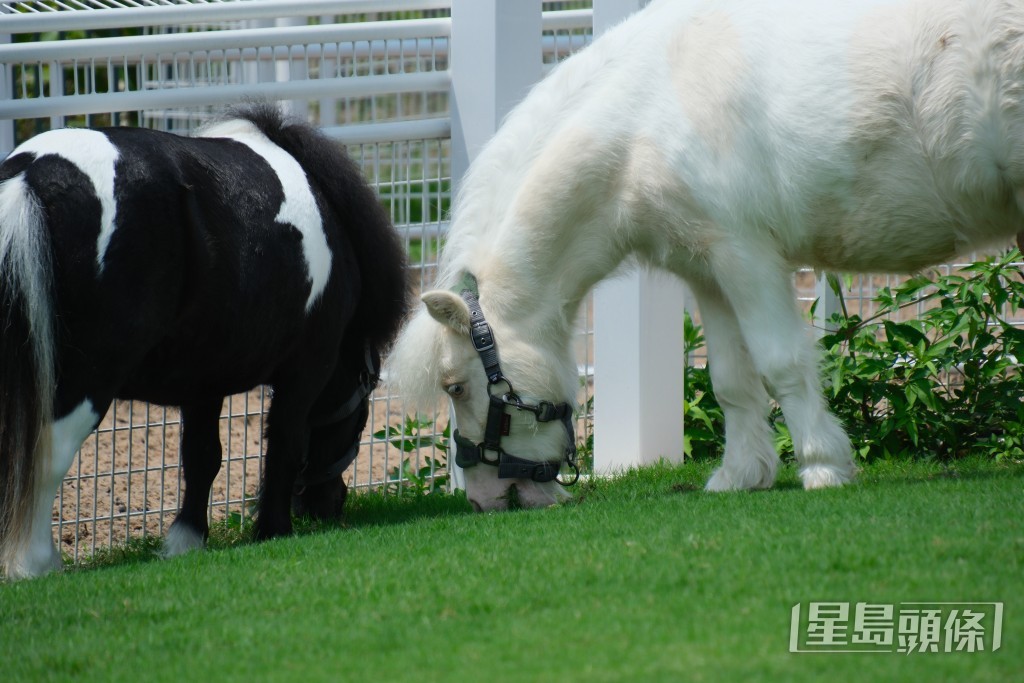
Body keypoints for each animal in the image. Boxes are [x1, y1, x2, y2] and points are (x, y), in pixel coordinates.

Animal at [0, 103, 408, 579]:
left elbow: (202, 457)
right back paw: (36, 564)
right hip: (88, 376)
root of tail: (30, 177)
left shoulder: (204, 380)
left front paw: (186, 539)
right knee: (50, 451)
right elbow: (284, 441)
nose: (328, 504)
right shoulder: (308, 368)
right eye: (362, 412)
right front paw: (273, 528)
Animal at [387, 0, 1024, 511]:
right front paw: (742, 474)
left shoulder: (747, 256)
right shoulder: (709, 269)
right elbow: (731, 380)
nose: (483, 500)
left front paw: (822, 465)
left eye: (455, 387)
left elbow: (780, 364)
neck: (647, 116)